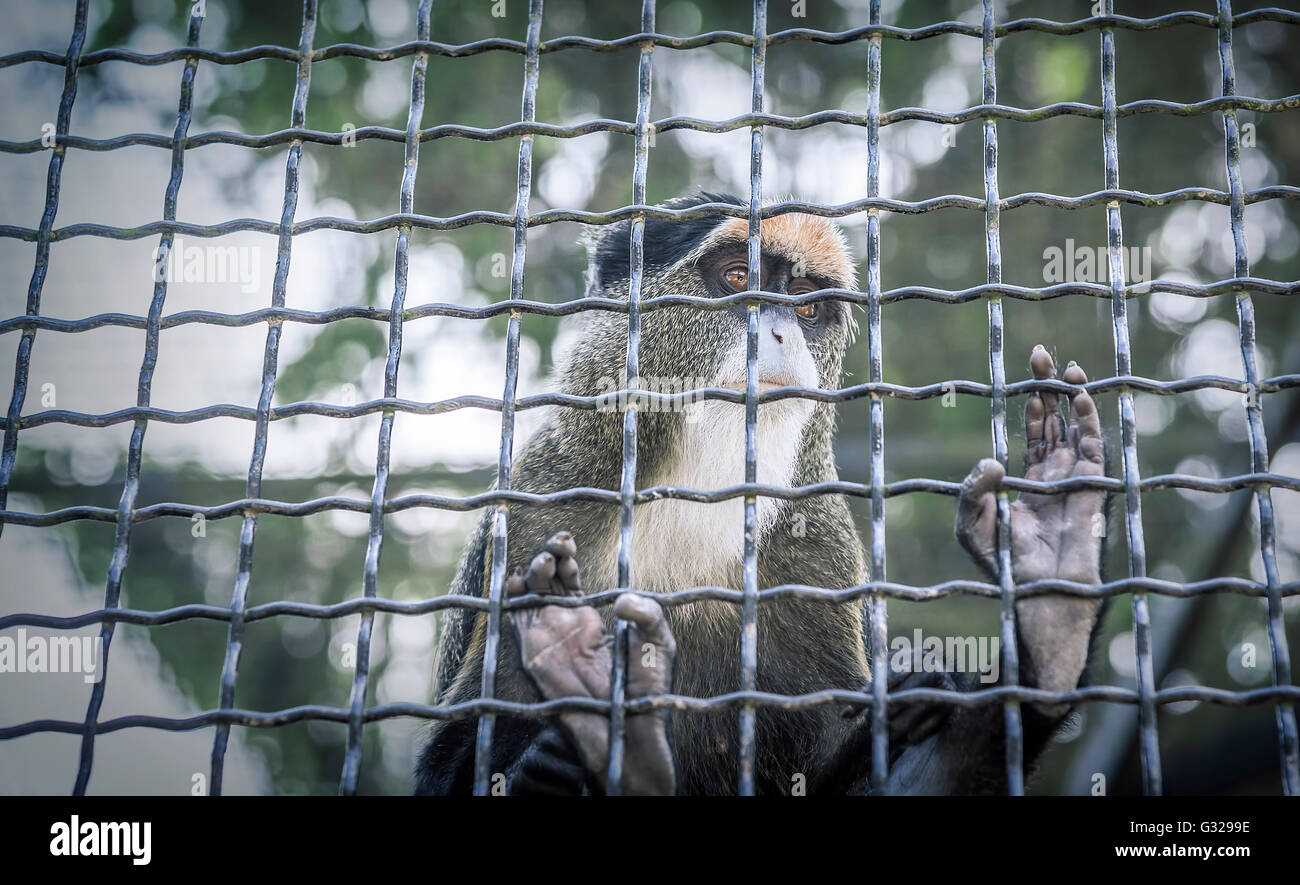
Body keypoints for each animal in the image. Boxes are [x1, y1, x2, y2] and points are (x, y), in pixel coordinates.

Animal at [416, 191, 1107, 795]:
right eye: (737, 276)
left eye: (804, 306)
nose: (779, 334)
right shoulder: (540, 507)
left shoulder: (817, 548)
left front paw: (1049, 580)